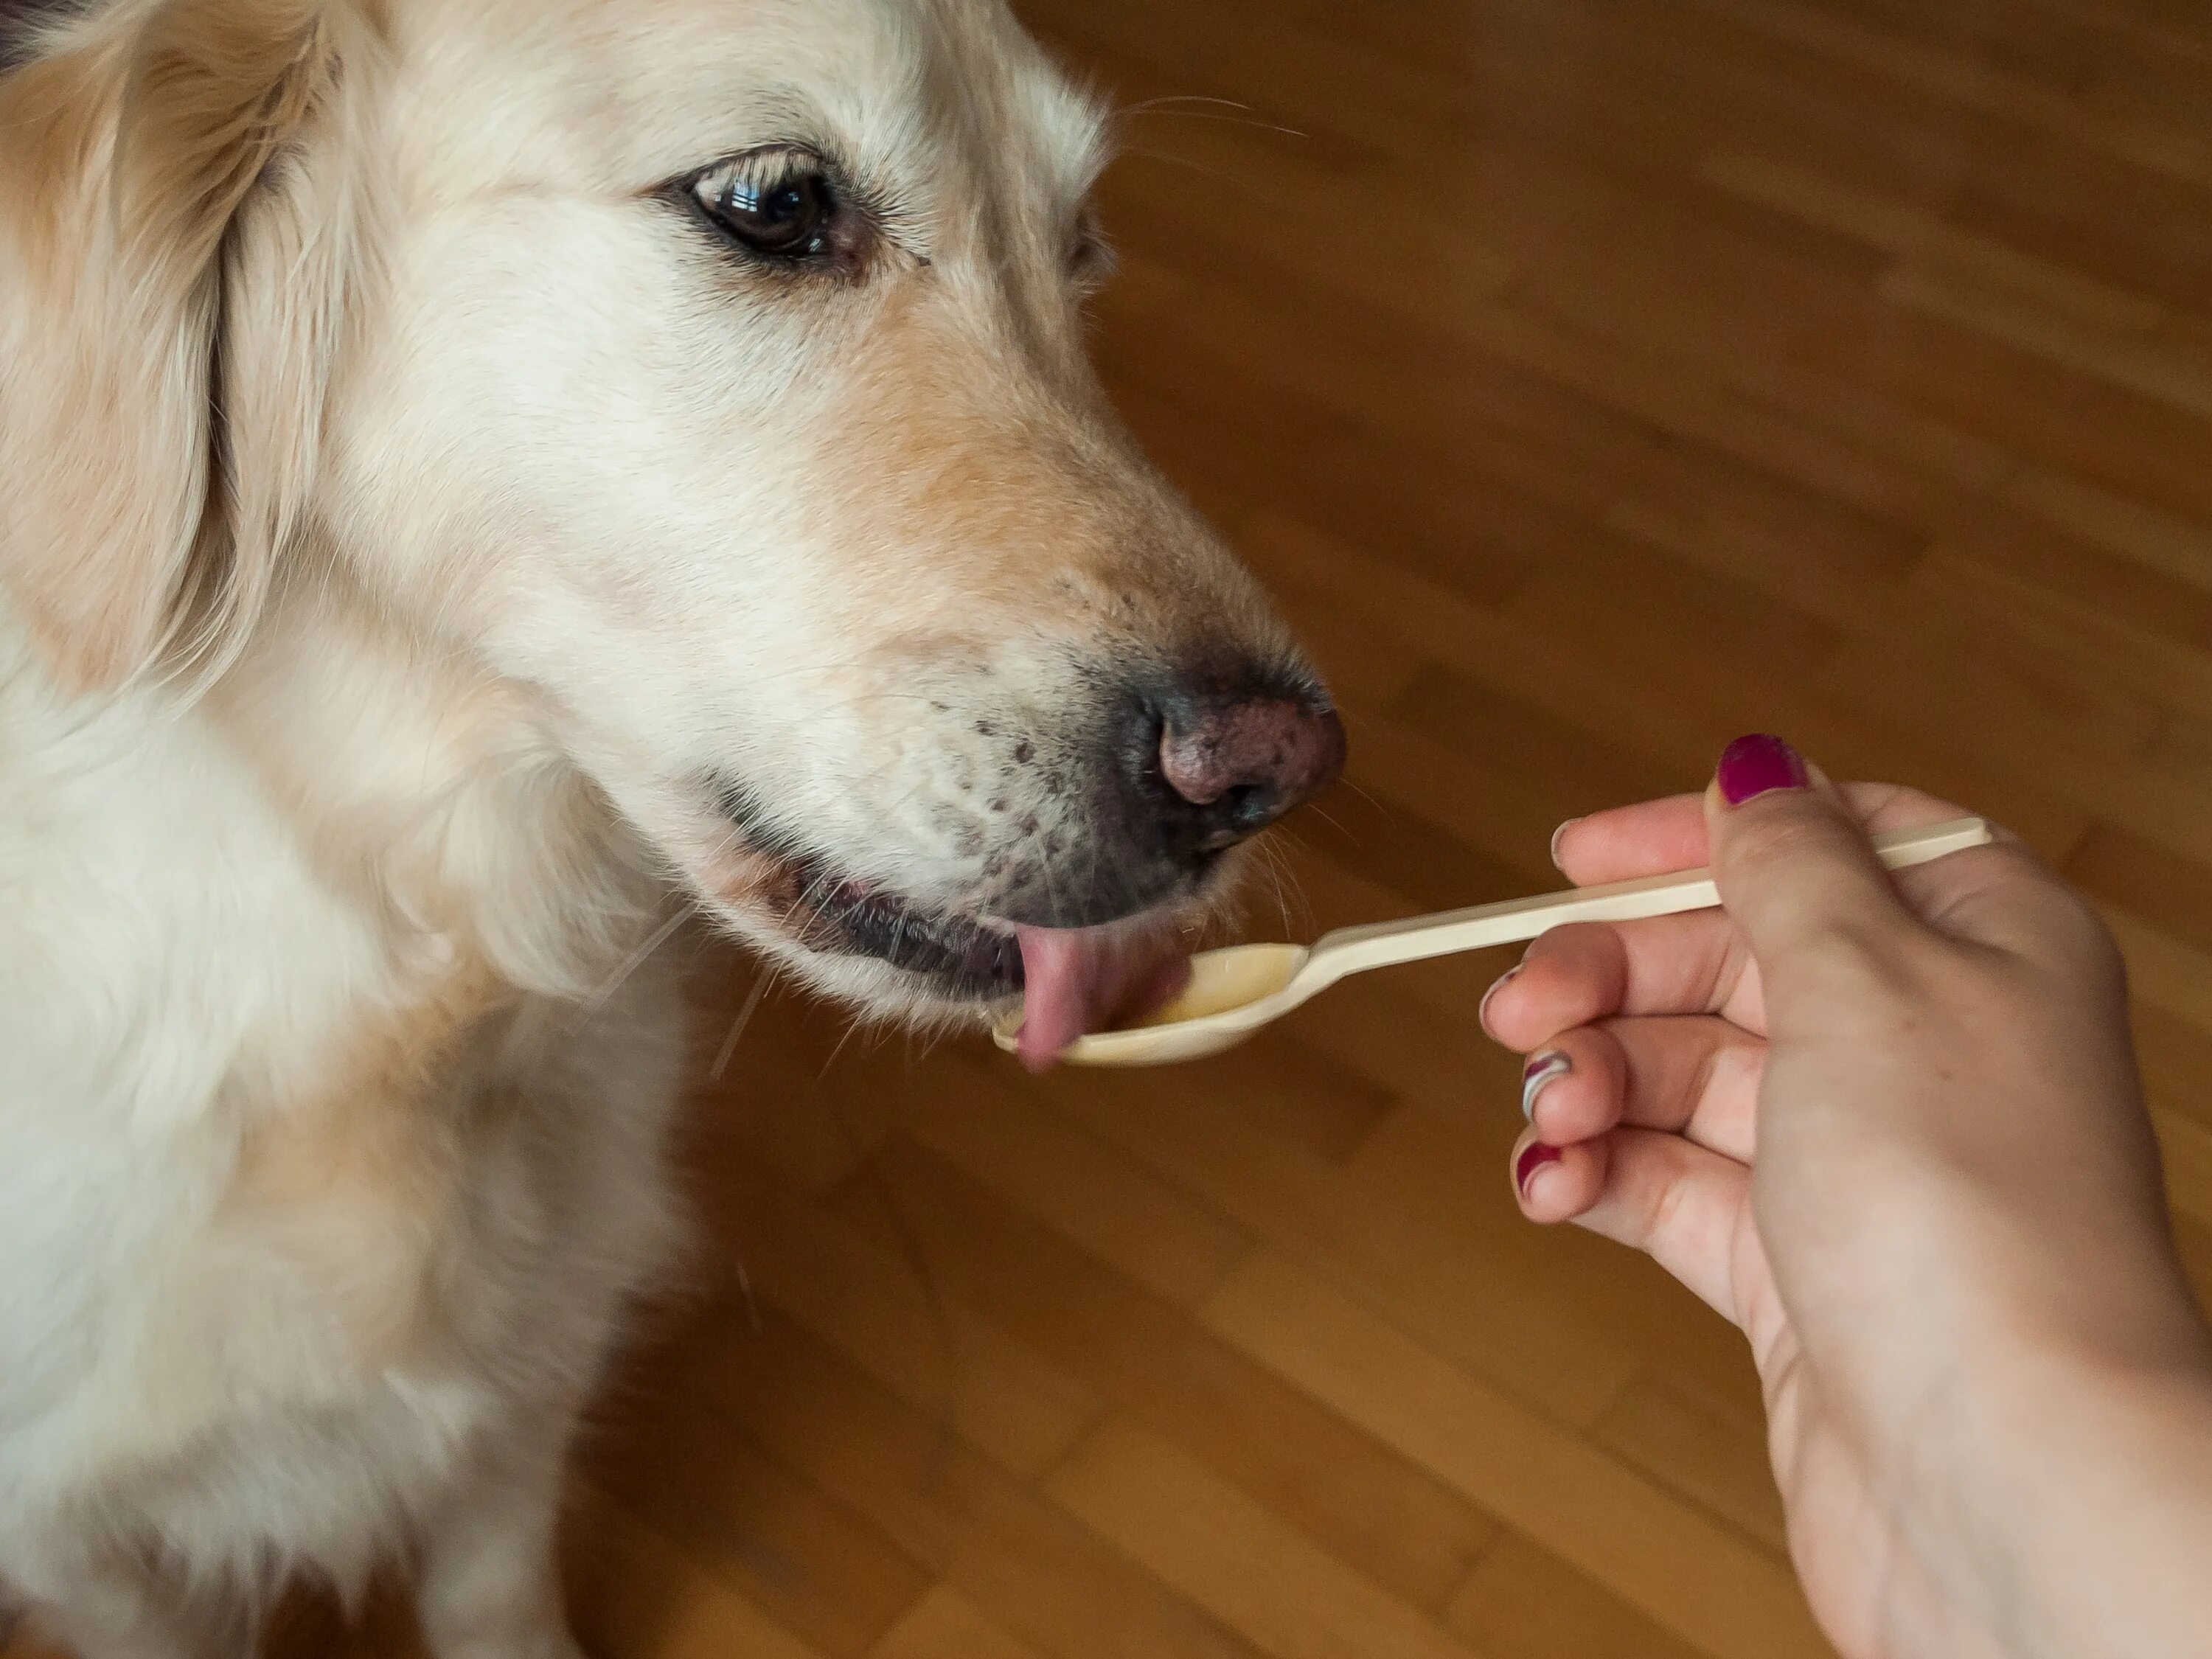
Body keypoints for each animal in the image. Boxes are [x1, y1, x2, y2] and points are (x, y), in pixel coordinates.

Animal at [0, 0, 1336, 1655]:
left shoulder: (528, 1386)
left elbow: (498, 1593)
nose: (1274, 771)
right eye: (771, 202)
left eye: (1078, 248)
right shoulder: (81, 1542)